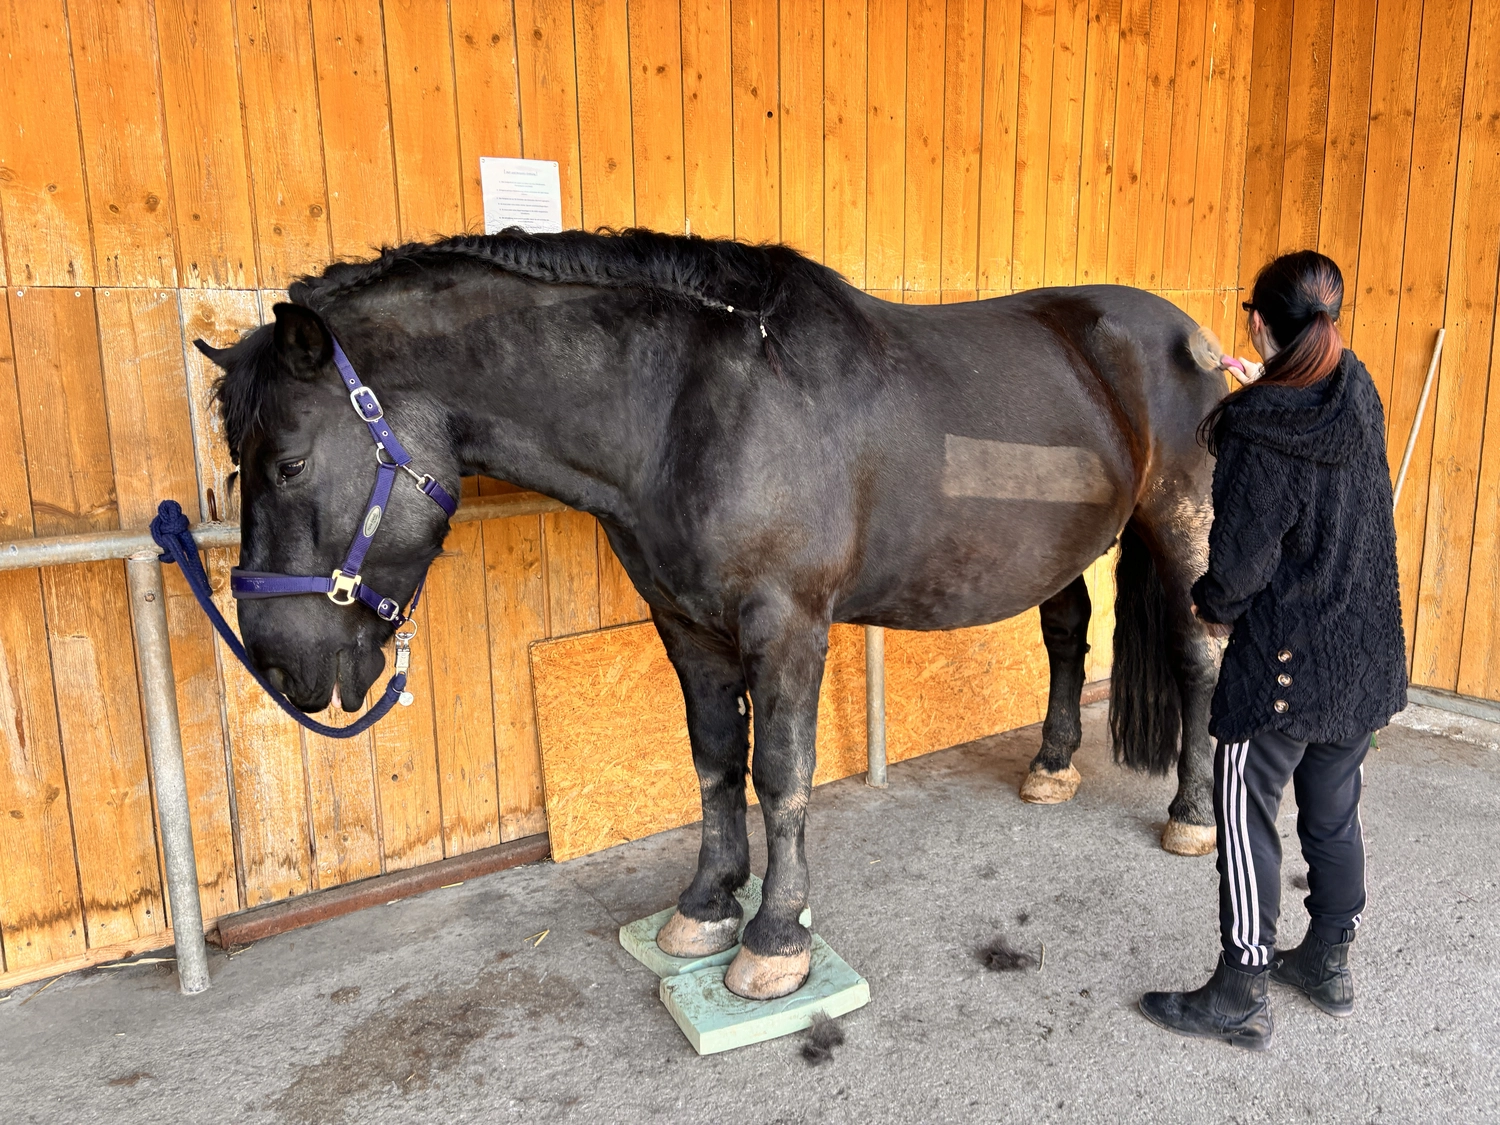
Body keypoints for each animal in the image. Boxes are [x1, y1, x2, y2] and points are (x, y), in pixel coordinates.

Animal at [196, 228, 1224, 1001]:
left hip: (1183, 527)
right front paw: (706, 905)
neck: (692, 404)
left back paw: (1192, 812)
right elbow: (713, 761)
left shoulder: (787, 626)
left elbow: (780, 776)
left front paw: (774, 937)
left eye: (288, 461)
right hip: (1065, 546)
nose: (276, 660)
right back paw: (1052, 765)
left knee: (1197, 658)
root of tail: (1192, 337)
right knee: (1066, 636)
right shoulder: (686, 625)